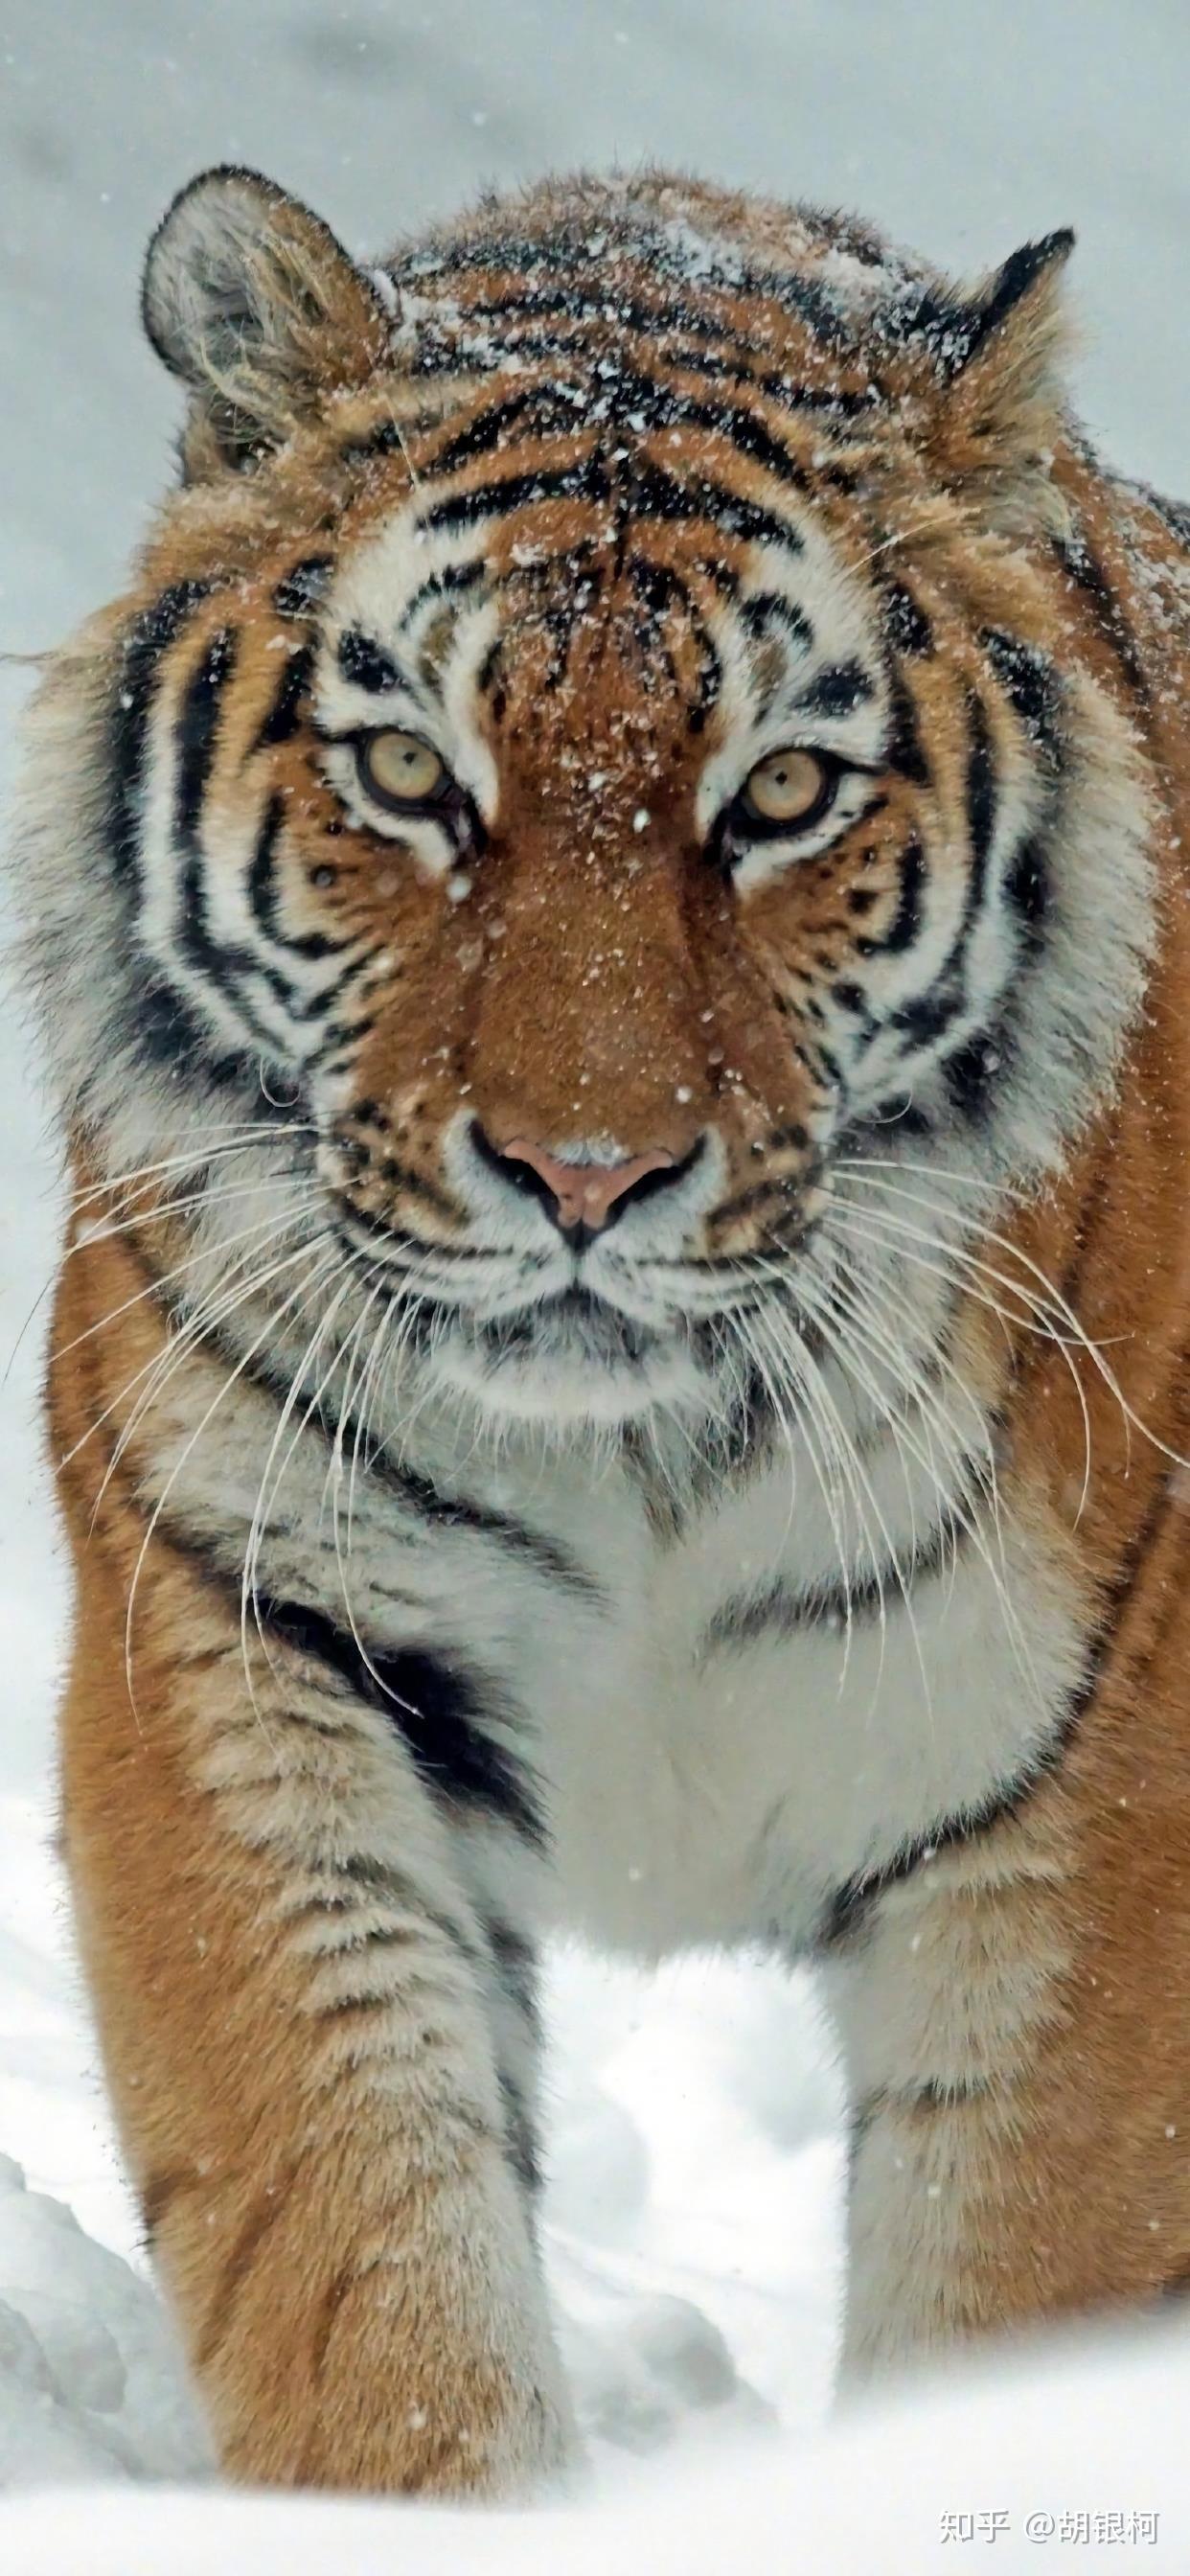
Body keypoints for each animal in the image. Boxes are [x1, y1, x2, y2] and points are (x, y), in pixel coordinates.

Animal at [9, 161, 1190, 2493]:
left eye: (782, 797)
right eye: (406, 771)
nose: (581, 1176)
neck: (649, 1456)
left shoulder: (1094, 1813)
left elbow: (1016, 2301)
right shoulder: (247, 1645)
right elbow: (363, 2265)